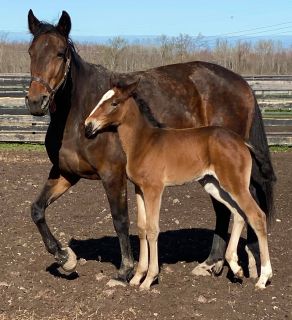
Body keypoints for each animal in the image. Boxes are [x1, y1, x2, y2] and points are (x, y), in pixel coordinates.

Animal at [84, 80, 272, 290]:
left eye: (114, 103)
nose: (88, 125)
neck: (143, 143)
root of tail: (242, 142)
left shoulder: (154, 189)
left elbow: (152, 229)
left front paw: (149, 279)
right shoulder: (139, 189)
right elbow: (142, 228)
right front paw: (136, 277)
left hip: (235, 185)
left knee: (257, 216)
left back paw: (263, 278)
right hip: (214, 185)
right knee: (239, 214)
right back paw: (236, 267)